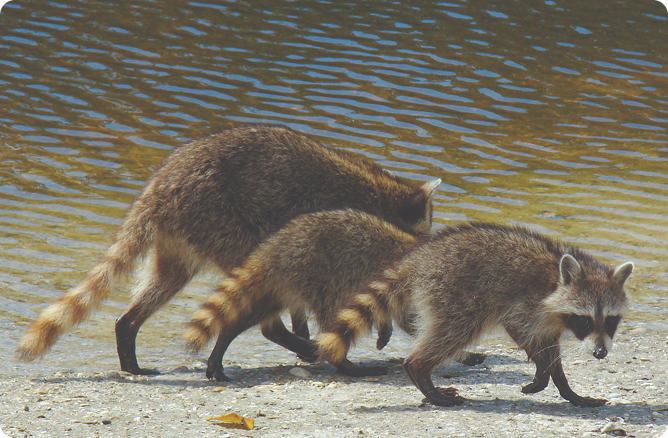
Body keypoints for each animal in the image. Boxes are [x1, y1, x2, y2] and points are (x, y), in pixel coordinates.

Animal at [183, 209, 419, 382]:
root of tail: (274, 249)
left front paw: (388, 329)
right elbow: (405, 317)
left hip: (285, 284)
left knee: (257, 311)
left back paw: (226, 335)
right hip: (322, 277)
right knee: (333, 320)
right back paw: (343, 363)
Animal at [318, 223, 634, 407]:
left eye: (610, 320)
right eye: (584, 319)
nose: (600, 353)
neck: (556, 281)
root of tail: (418, 259)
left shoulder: (550, 320)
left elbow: (549, 350)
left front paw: (563, 386)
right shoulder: (528, 306)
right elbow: (522, 332)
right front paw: (544, 373)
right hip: (455, 293)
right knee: (452, 333)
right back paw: (420, 370)